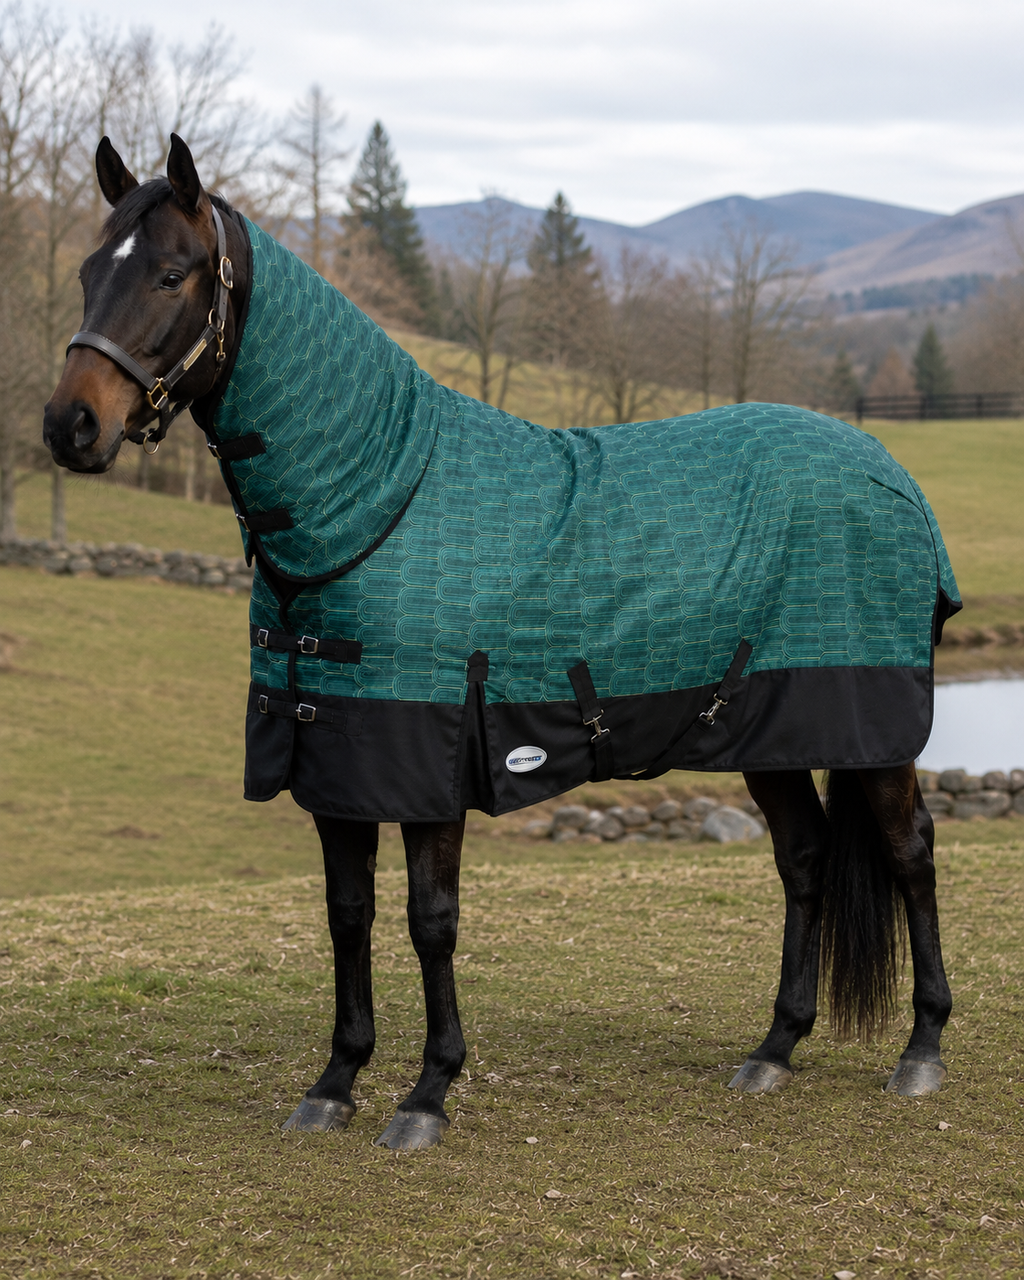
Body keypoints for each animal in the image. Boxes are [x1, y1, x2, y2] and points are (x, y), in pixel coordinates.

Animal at [43, 135, 959, 1151]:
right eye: (88, 271)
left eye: (171, 274)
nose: (70, 425)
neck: (378, 498)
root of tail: (890, 475)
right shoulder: (335, 761)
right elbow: (348, 915)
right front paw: (335, 1082)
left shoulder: (432, 757)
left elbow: (429, 920)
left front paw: (427, 1093)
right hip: (770, 733)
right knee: (803, 861)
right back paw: (775, 1048)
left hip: (871, 731)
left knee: (910, 852)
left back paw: (921, 1051)